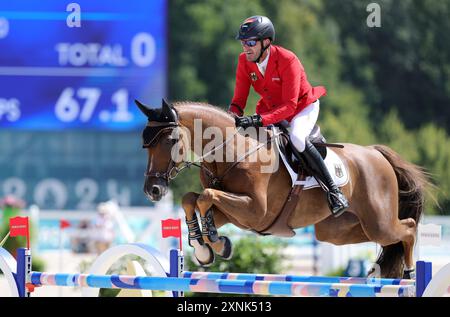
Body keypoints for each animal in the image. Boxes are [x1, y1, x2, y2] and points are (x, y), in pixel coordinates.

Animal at [136, 99, 428, 276]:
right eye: (145, 145)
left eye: (170, 140)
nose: (153, 190)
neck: (232, 152)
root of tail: (377, 154)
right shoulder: (233, 213)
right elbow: (192, 199)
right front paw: (205, 246)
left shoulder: (254, 211)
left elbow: (205, 196)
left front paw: (216, 244)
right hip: (338, 230)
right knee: (385, 238)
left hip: (379, 221)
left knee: (409, 228)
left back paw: (410, 274)